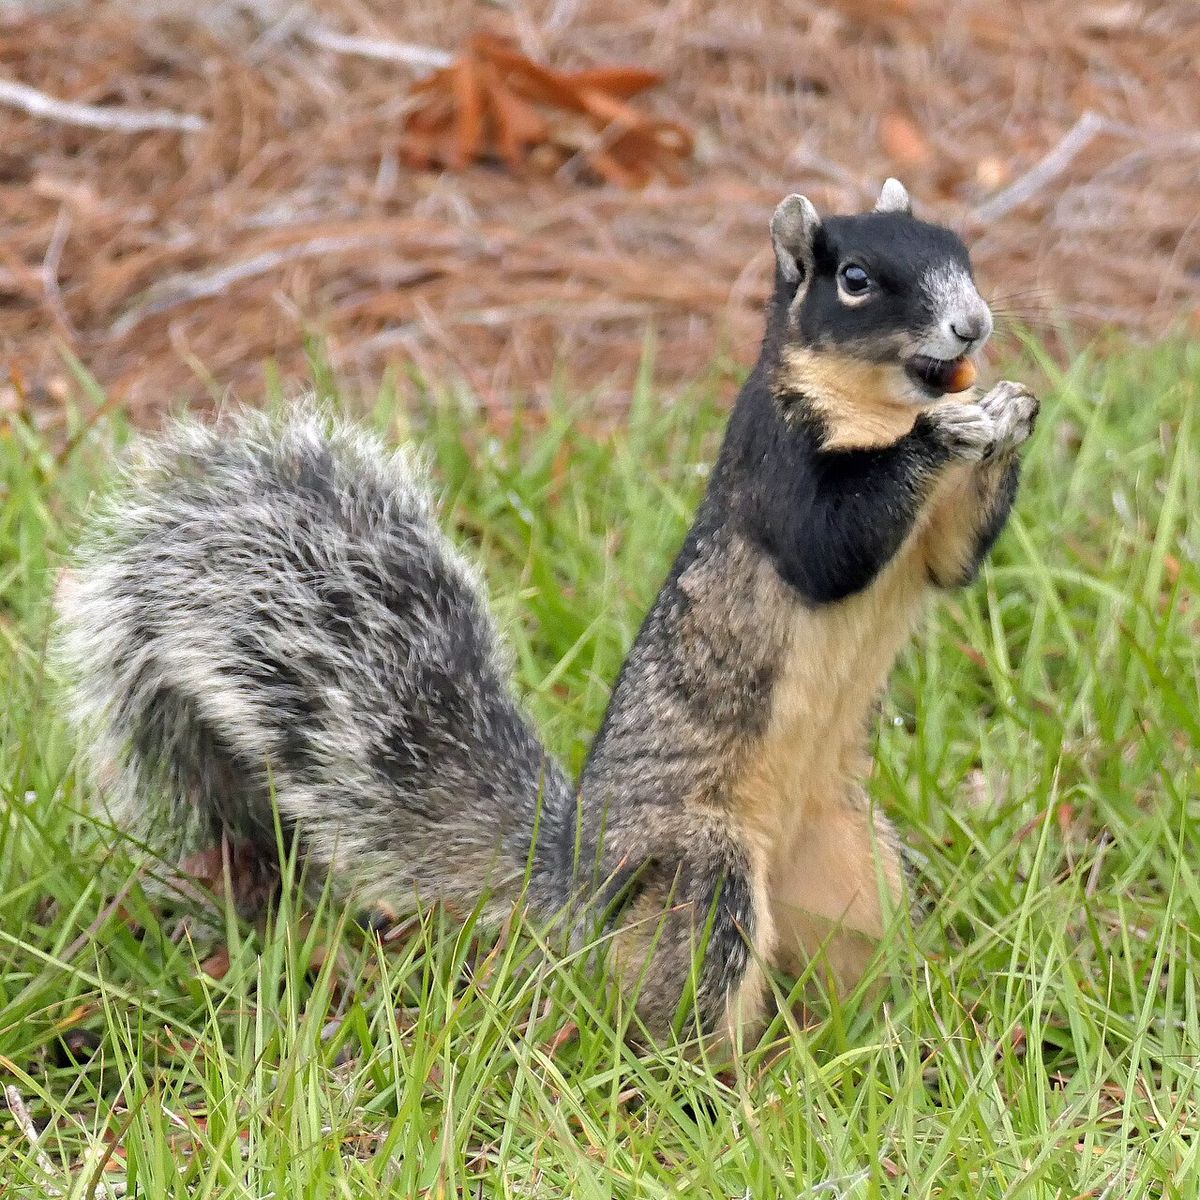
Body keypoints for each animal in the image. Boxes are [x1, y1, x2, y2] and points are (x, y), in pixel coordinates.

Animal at [55, 178, 1038, 1049]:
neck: (875, 409)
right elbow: (830, 551)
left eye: (960, 251)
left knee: (845, 955)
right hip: (701, 868)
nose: (974, 326)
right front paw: (956, 426)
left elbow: (951, 564)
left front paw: (1013, 409)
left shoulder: (930, 542)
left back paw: (888, 1030)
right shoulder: (774, 466)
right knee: (680, 998)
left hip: (854, 865)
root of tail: (580, 886)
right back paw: (714, 1086)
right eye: (857, 279)